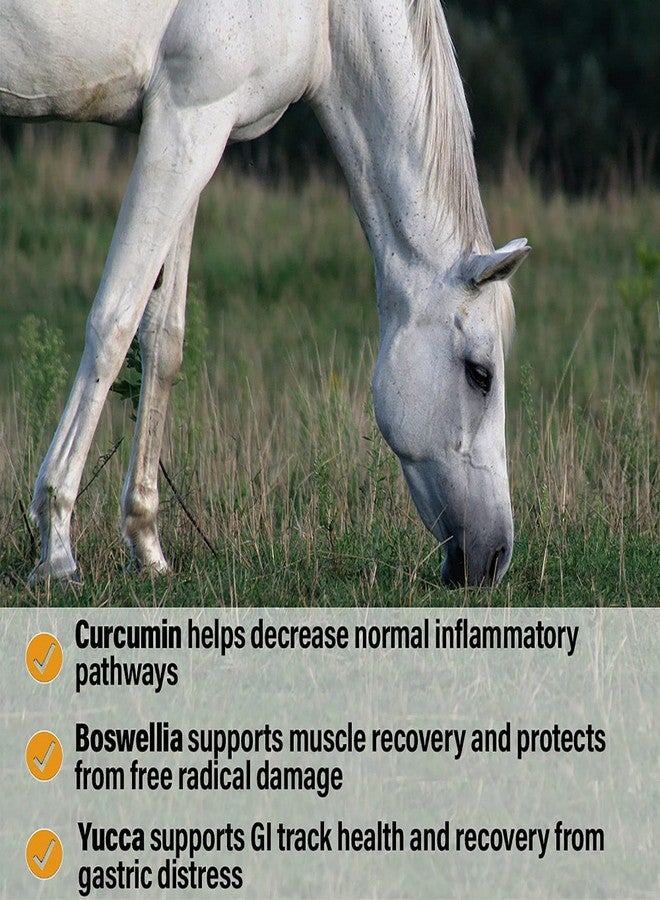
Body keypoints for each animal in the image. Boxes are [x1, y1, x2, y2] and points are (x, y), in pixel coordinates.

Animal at [1, 0, 529, 588]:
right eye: (480, 375)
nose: (496, 556)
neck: (328, 18)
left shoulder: (191, 131)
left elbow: (163, 340)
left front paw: (147, 545)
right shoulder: (187, 117)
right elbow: (113, 324)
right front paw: (57, 547)